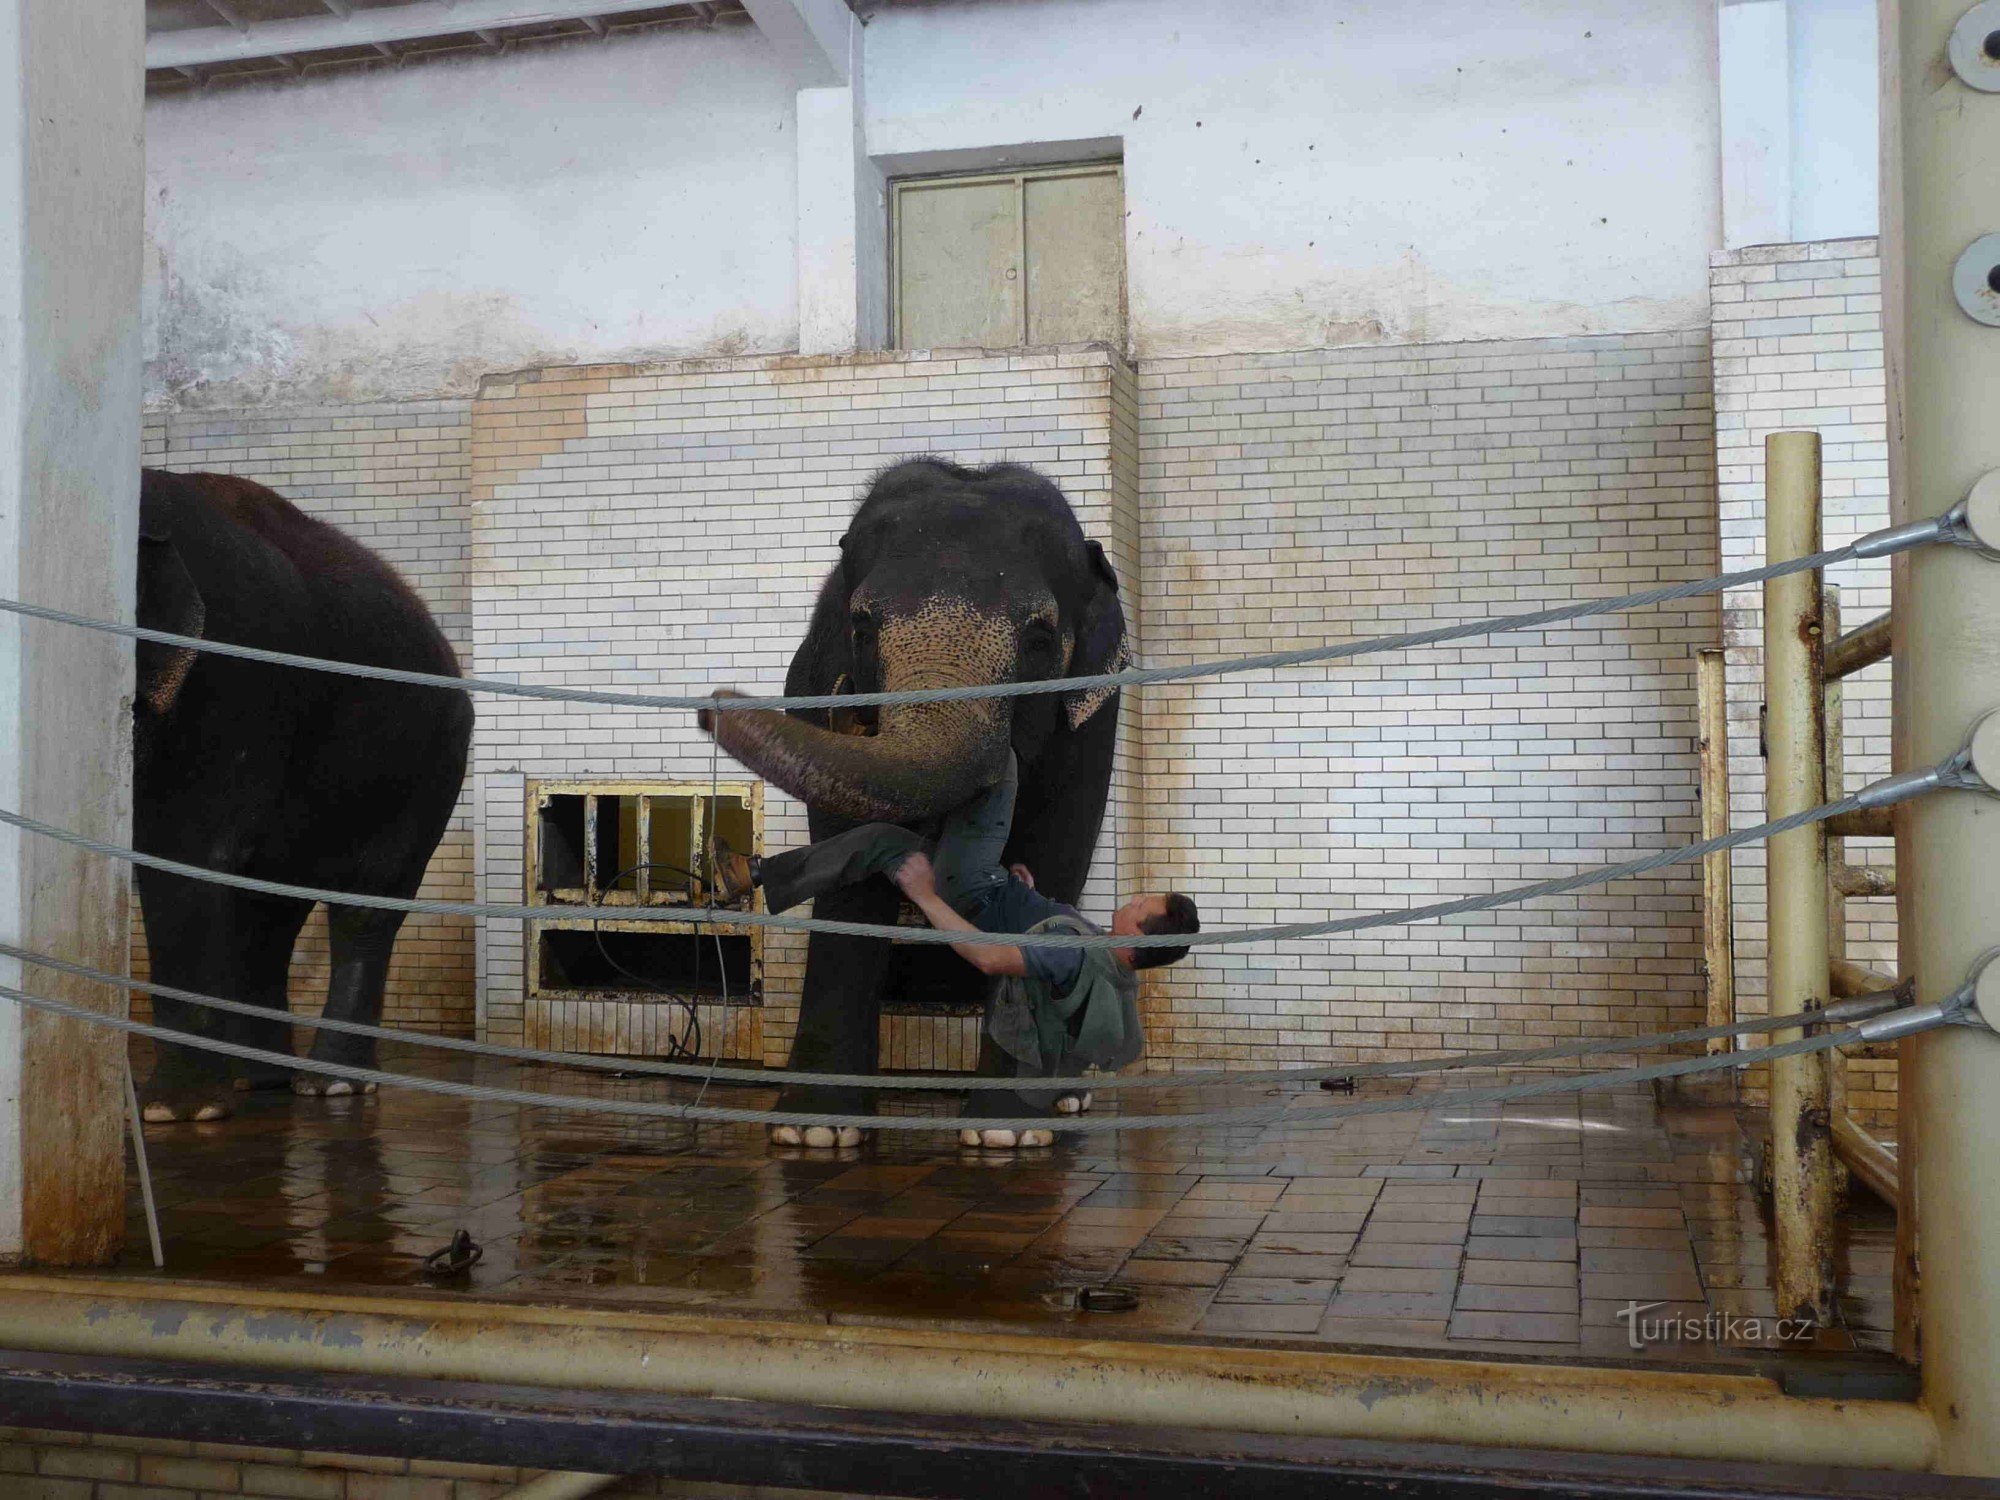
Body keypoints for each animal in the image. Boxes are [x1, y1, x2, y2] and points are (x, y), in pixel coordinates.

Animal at [135, 476, 474, 1120]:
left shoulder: (233, 675)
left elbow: (181, 860)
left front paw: (172, 1114)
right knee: (264, 913)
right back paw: (258, 1081)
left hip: (430, 764)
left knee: (366, 905)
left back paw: (332, 1087)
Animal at [704, 458, 1128, 1152]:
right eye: (861, 629)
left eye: (1040, 640)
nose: (715, 704)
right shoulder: (818, 694)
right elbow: (852, 867)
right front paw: (816, 1131)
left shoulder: (1094, 721)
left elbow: (1055, 853)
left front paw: (1008, 1133)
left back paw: (1066, 1099)